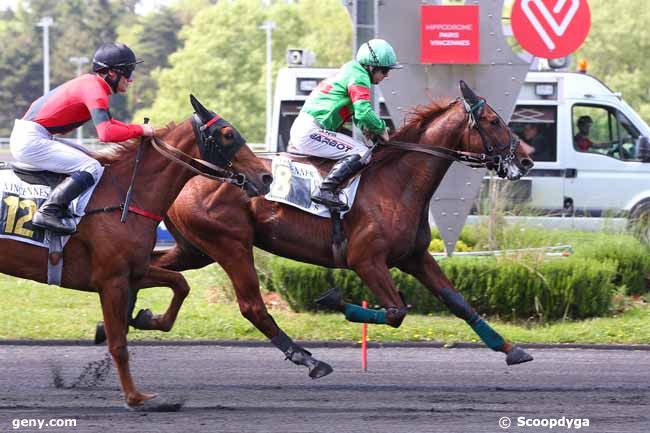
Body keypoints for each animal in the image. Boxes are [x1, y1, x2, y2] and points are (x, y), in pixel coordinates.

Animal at [0, 96, 270, 410]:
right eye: (227, 134)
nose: (266, 176)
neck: (127, 196)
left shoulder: (135, 271)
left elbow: (181, 284)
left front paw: (147, 318)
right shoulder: (111, 281)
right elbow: (118, 343)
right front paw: (135, 396)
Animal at [128, 80, 536, 374]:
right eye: (494, 121)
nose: (527, 159)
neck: (398, 181)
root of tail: (192, 172)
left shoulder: (415, 256)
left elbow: (457, 301)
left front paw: (511, 349)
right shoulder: (366, 260)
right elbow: (396, 311)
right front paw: (334, 299)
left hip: (195, 248)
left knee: (152, 267)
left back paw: (140, 316)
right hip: (230, 244)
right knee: (252, 306)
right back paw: (309, 359)